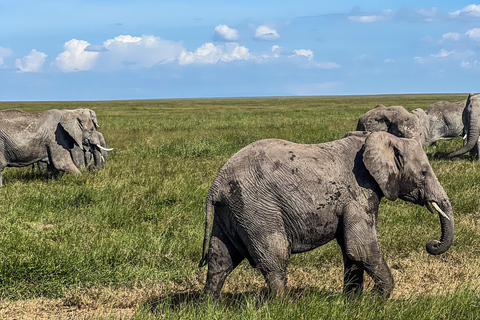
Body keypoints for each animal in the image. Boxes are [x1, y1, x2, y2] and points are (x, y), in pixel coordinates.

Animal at [199, 131, 454, 300]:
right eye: (424, 173)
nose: (431, 244)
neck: (375, 139)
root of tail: (216, 185)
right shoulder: (358, 192)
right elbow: (360, 248)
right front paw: (376, 301)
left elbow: (351, 251)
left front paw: (353, 303)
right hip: (257, 210)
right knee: (274, 259)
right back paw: (283, 306)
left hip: (232, 211)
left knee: (220, 259)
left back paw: (209, 305)